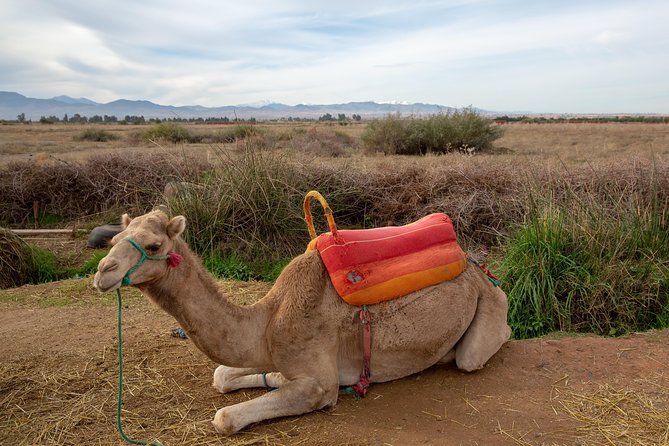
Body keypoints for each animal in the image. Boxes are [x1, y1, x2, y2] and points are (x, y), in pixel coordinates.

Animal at [92, 210, 512, 436]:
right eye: (113, 240)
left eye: (153, 246)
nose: (103, 272)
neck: (267, 321)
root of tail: (478, 267)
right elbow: (223, 375)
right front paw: (268, 377)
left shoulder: (318, 385)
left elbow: (225, 416)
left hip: (488, 310)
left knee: (477, 351)